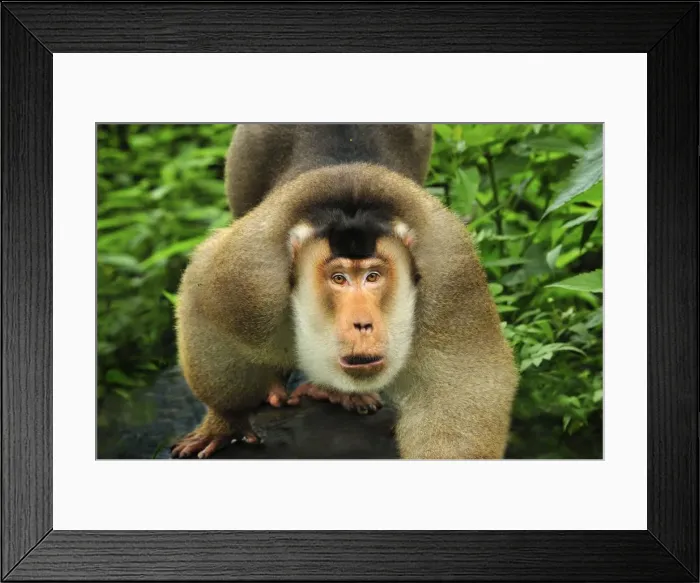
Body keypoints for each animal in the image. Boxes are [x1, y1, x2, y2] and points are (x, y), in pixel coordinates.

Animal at [170, 124, 518, 459]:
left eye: (373, 276)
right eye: (338, 279)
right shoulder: (248, 278)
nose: (362, 324)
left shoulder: (448, 272)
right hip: (247, 150)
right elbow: (202, 298)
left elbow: (458, 386)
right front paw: (225, 419)